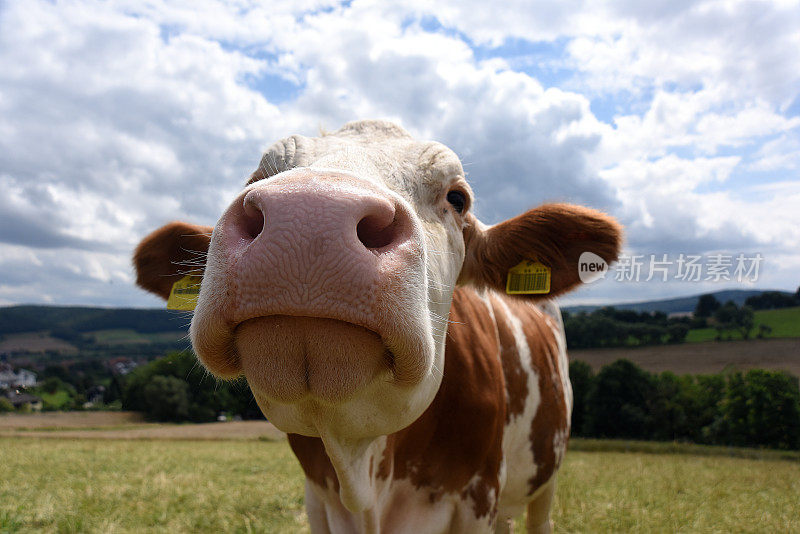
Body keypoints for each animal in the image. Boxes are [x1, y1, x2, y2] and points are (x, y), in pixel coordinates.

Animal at [131, 121, 620, 534]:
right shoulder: (319, 501)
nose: (310, 214)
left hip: (544, 481)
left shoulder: (476, 500)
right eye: (255, 177)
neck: (361, 464)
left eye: (457, 198)